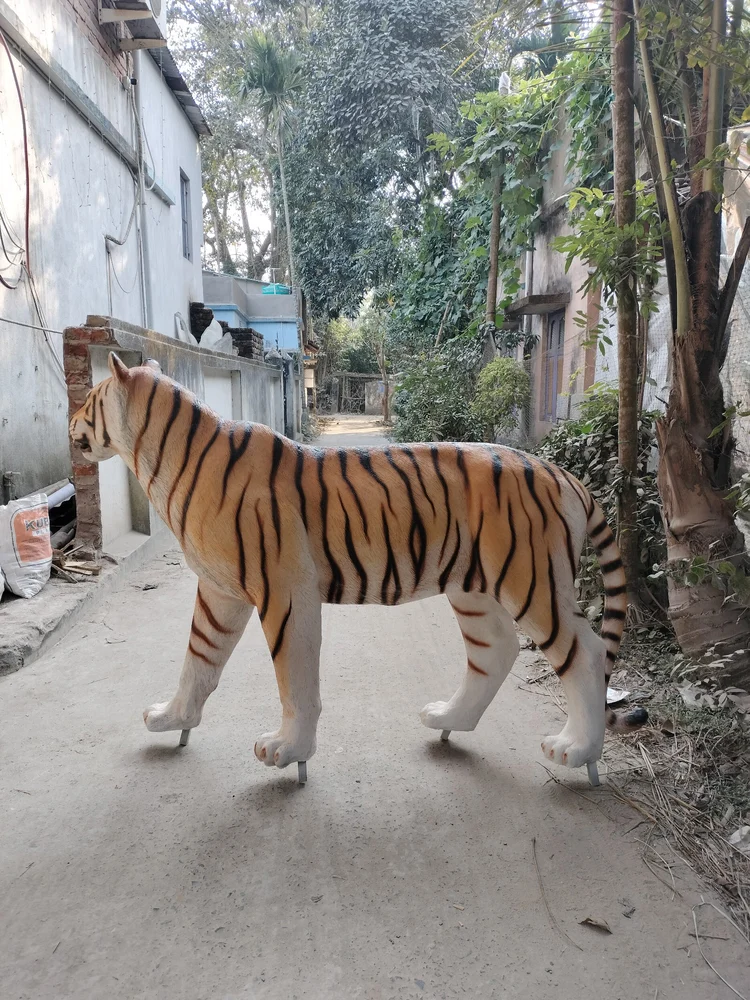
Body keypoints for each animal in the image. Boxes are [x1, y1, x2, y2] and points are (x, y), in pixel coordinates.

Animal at [69, 353, 647, 777]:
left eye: (91, 399)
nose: (70, 420)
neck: (161, 461)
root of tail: (562, 473)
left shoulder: (284, 592)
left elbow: (294, 681)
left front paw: (287, 749)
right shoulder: (220, 591)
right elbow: (198, 657)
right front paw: (174, 719)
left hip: (533, 583)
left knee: (585, 652)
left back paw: (577, 750)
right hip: (474, 590)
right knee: (496, 650)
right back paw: (449, 719)